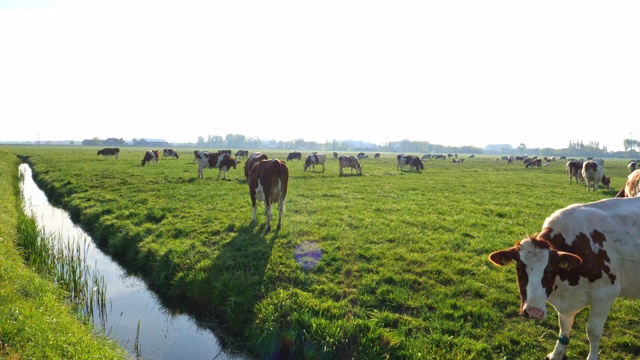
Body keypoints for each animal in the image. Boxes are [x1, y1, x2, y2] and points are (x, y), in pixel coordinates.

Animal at [488, 197, 640, 360]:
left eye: (549, 270)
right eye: (519, 269)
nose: (534, 312)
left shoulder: (605, 294)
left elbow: (593, 332)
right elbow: (564, 326)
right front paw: (557, 353)